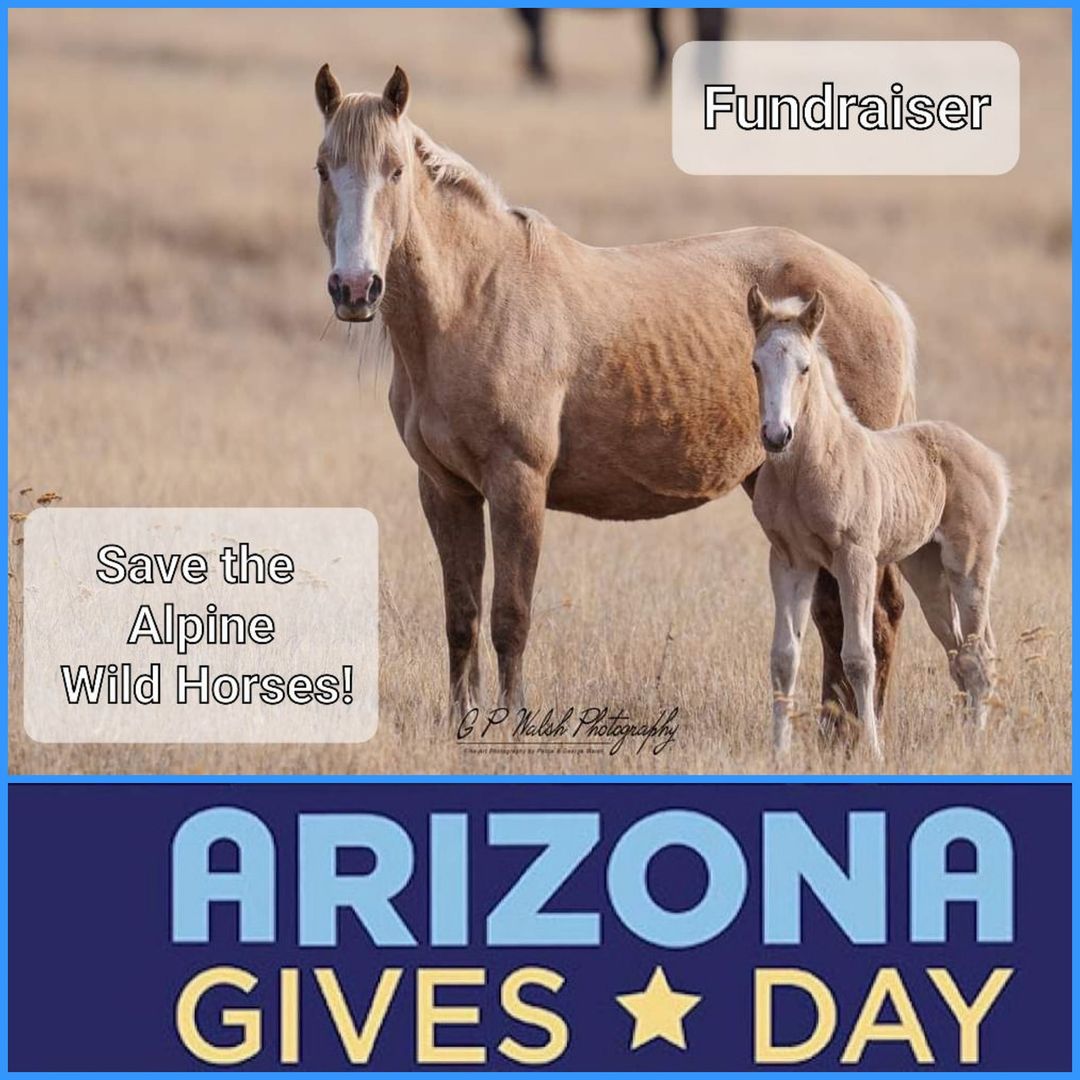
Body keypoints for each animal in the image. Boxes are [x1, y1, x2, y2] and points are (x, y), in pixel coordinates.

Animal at [312, 64, 917, 724]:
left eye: (395, 169)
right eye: (322, 168)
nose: (355, 288)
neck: (474, 300)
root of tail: (876, 292)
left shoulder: (518, 485)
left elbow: (510, 618)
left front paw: (512, 720)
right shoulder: (445, 490)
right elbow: (462, 618)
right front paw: (462, 722)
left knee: (877, 614)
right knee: (837, 614)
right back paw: (835, 730)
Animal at [746, 286, 1008, 758]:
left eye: (805, 367)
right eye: (756, 365)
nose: (777, 435)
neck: (806, 467)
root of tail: (991, 459)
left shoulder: (856, 557)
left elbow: (858, 656)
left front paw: (872, 749)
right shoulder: (789, 560)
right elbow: (784, 657)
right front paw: (779, 753)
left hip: (969, 568)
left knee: (978, 654)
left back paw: (976, 744)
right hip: (926, 573)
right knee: (960, 653)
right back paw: (968, 736)